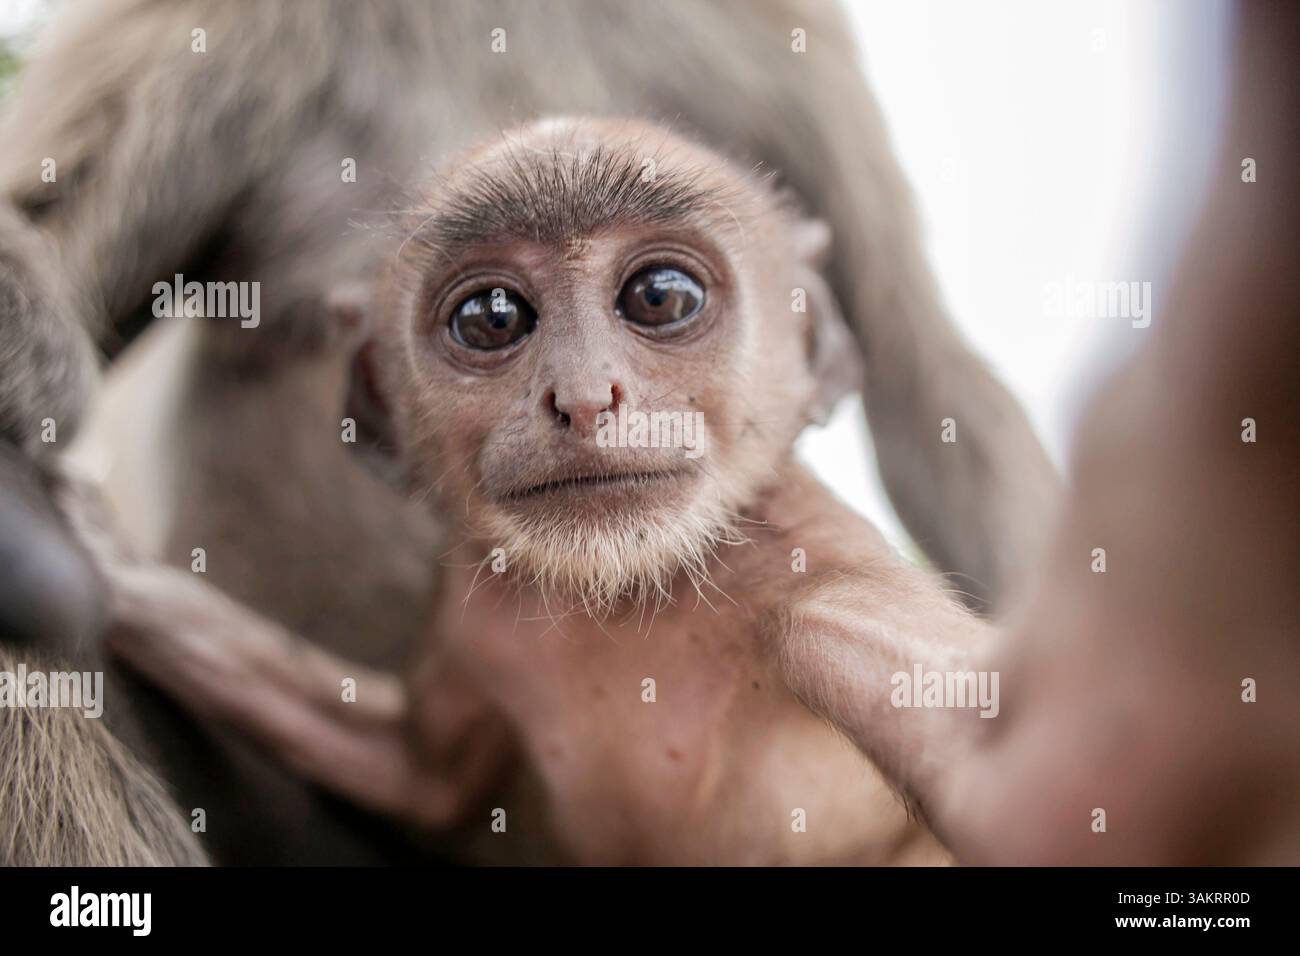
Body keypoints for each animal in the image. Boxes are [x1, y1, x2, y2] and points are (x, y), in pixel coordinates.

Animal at [0, 0, 1055, 863]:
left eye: (660, 297)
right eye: (492, 318)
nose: (584, 399)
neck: (630, 603)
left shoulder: (827, 604)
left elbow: (922, 380)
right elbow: (421, 775)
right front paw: (108, 565)